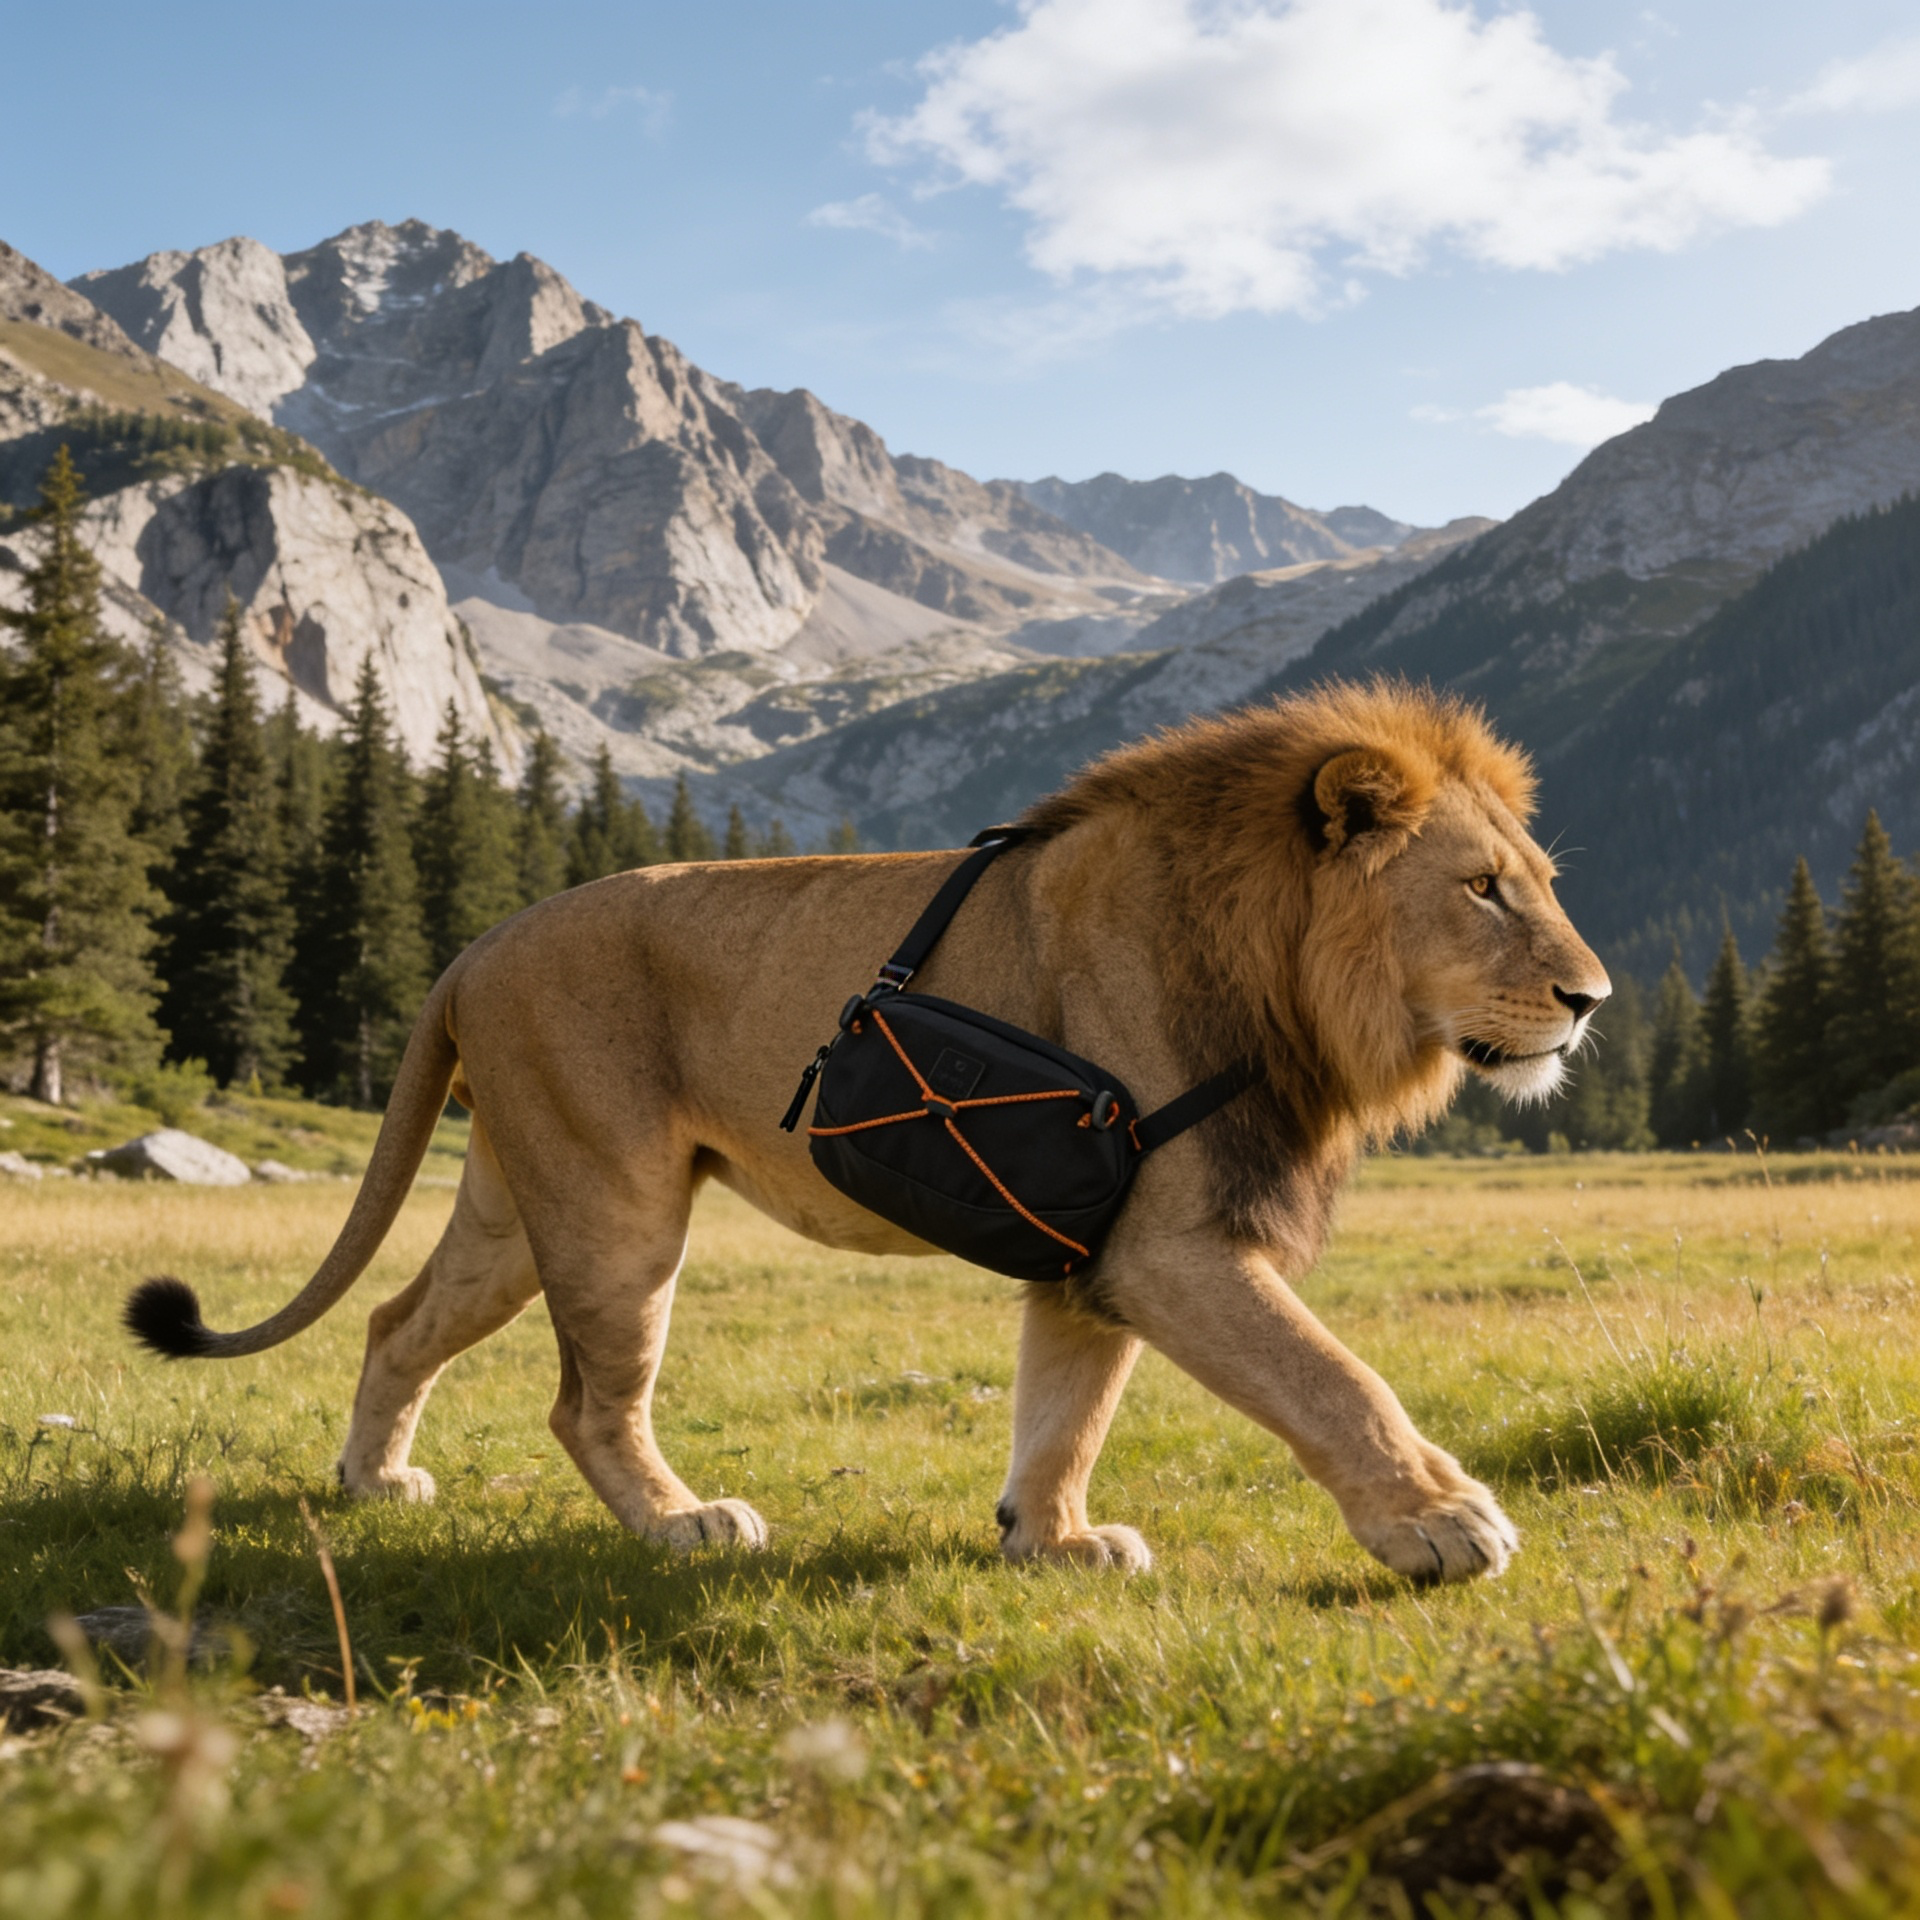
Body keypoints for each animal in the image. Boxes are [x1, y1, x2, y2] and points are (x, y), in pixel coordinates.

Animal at [127, 680, 1609, 1583]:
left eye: (1538, 882)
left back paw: (373, 1482)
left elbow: (1067, 1412)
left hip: (512, 1201)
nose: (1592, 1000)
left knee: (397, 1322)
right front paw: (1438, 1521)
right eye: (1481, 890)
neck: (1290, 982)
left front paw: (1051, 1542)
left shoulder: (1092, 1240)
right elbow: (1332, 1376)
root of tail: (474, 945)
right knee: (585, 1401)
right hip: (614, 1207)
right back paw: (684, 1523)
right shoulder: (1175, 1242)